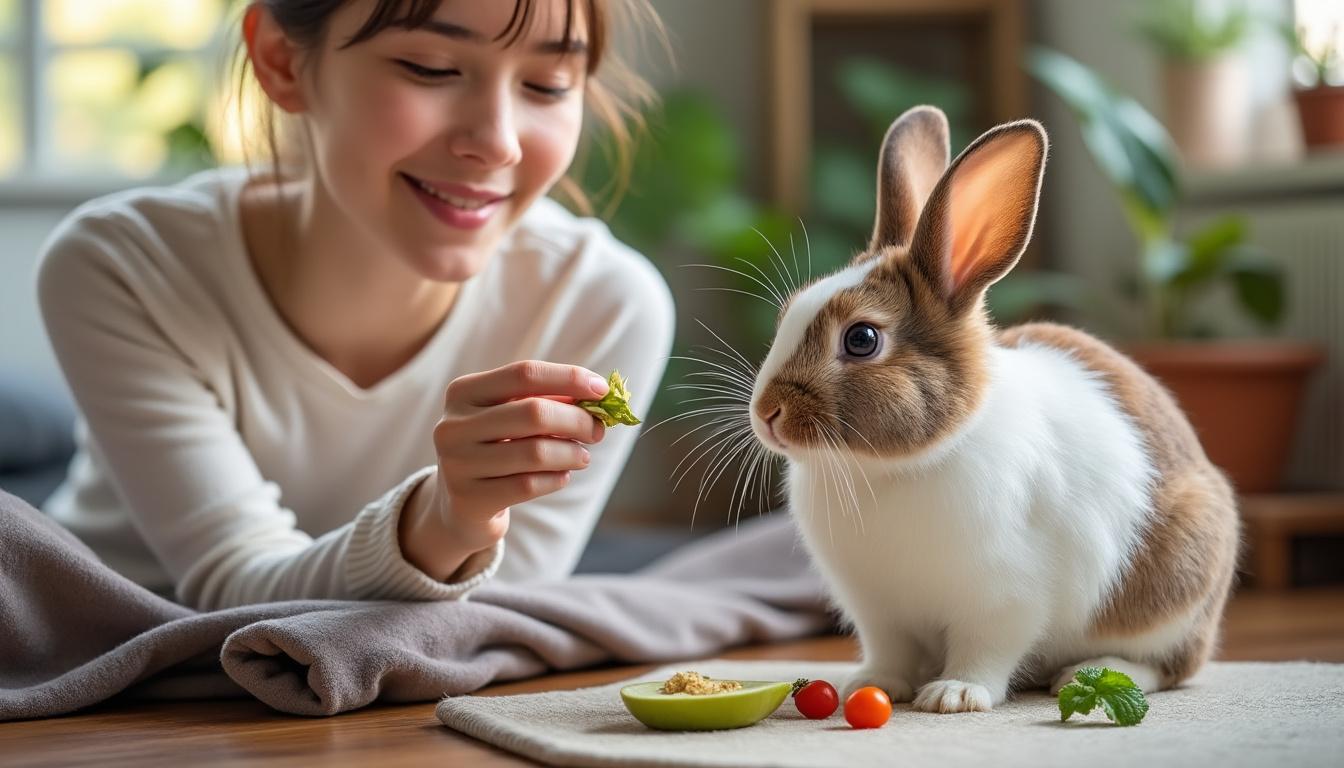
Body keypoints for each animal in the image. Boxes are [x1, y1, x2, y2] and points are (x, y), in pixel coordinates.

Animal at [748, 105, 1240, 713]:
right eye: (788, 315)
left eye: (861, 339)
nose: (766, 413)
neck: (890, 471)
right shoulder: (877, 610)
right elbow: (889, 652)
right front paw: (868, 684)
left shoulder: (1004, 599)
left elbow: (986, 650)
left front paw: (954, 694)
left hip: (1178, 593)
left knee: (1170, 666)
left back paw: (1087, 673)